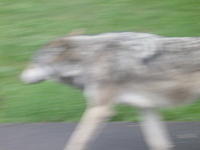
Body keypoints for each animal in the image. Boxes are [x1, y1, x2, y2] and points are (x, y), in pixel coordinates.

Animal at [20, 31, 200, 150]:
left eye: (33, 62)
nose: (20, 77)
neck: (86, 60)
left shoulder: (99, 110)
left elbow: (76, 140)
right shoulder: (146, 108)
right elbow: (158, 142)